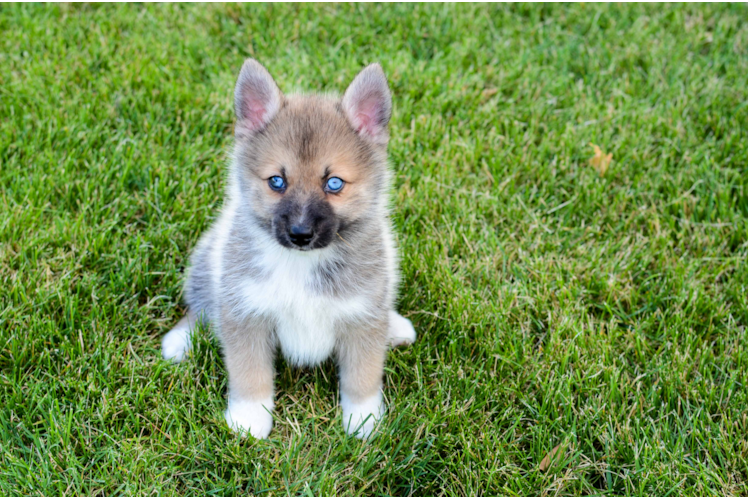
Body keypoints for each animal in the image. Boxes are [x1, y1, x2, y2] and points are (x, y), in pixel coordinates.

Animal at [162, 60, 414, 440]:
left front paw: (363, 421)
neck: (301, 264)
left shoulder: (361, 318)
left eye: (334, 183)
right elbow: (249, 372)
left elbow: (362, 376)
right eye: (276, 182)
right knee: (201, 305)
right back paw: (180, 340)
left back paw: (395, 327)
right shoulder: (246, 313)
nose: (300, 234)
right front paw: (250, 418)